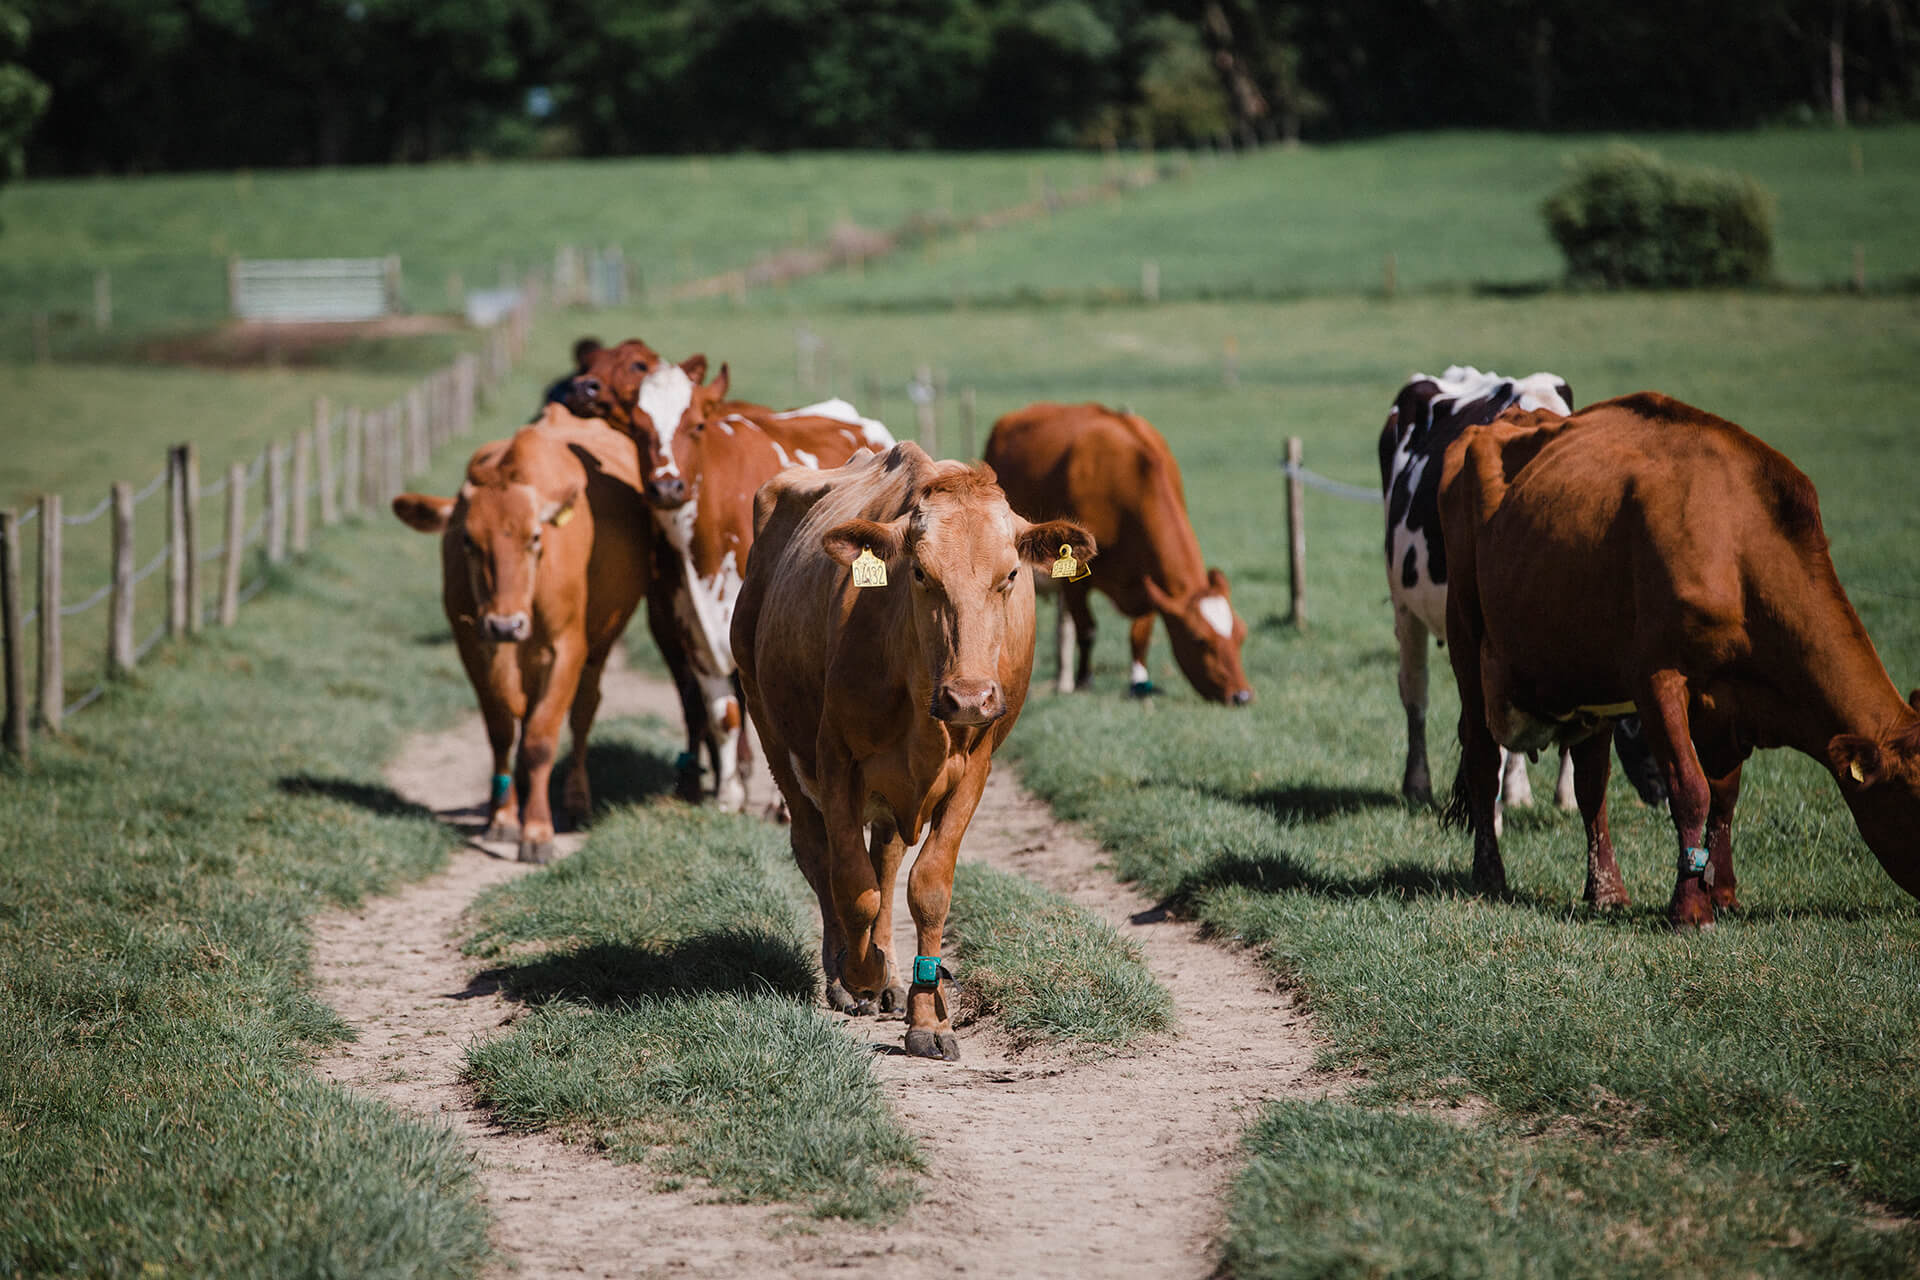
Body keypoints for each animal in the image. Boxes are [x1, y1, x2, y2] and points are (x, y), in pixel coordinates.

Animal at [391, 404, 652, 867]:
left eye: (535, 537)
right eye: (467, 539)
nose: (505, 625)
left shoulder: (566, 649)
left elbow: (540, 740)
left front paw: (537, 830)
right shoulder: (472, 646)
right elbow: (501, 732)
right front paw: (502, 818)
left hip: (599, 646)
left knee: (582, 713)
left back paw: (577, 799)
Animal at [733, 443, 1098, 1059]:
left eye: (1010, 575)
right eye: (922, 573)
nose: (969, 695)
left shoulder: (975, 768)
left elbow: (925, 885)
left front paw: (927, 1016)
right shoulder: (836, 759)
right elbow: (852, 885)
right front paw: (858, 974)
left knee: (883, 857)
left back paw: (889, 973)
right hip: (773, 735)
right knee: (817, 852)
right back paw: (848, 976)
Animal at [983, 401, 1251, 706]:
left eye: (1241, 634)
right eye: (1199, 640)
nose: (1242, 696)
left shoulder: (1148, 579)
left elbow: (1140, 634)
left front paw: (1139, 682)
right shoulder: (1074, 577)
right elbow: (1087, 629)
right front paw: (1084, 681)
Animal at [1382, 362, 1666, 821]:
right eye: (1641, 722)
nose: (1663, 795)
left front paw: (1565, 798)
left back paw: (1516, 791)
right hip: (1405, 606)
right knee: (1415, 694)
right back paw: (1418, 784)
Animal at [1443, 395, 1920, 924]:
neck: (1737, 546)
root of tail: (1497, 424)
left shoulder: (1728, 703)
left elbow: (1724, 795)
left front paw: (1724, 893)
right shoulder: (1657, 680)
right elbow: (1691, 789)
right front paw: (1690, 908)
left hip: (1589, 679)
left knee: (1591, 785)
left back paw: (1606, 890)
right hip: (1465, 638)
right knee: (1482, 758)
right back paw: (1489, 874)